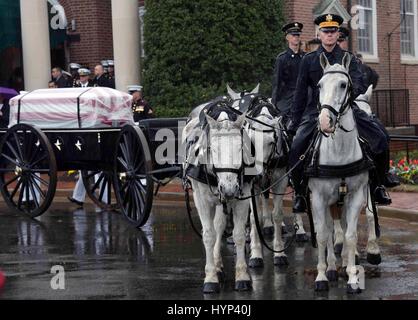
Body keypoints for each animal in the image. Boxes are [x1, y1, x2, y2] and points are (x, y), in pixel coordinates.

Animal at [182, 107, 253, 292]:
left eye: (240, 148)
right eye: (212, 150)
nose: (228, 189)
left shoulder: (242, 197)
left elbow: (239, 235)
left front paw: (242, 276)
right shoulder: (201, 200)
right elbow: (208, 235)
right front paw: (211, 277)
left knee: (220, 225)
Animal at [334, 84, 382, 264]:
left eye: (371, 113)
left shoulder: (366, 184)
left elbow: (370, 213)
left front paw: (373, 249)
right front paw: (352, 253)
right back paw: (338, 241)